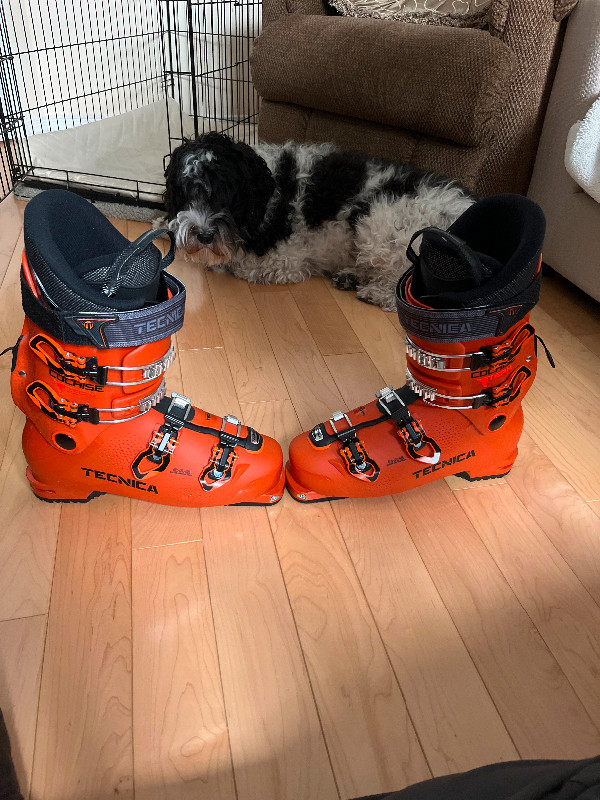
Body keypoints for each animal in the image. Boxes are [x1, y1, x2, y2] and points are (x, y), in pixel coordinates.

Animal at [164, 131, 474, 310]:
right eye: (186, 192)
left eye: (228, 197)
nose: (204, 235)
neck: (265, 195)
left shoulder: (284, 261)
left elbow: (236, 264)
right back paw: (350, 277)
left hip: (382, 225)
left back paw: (376, 292)